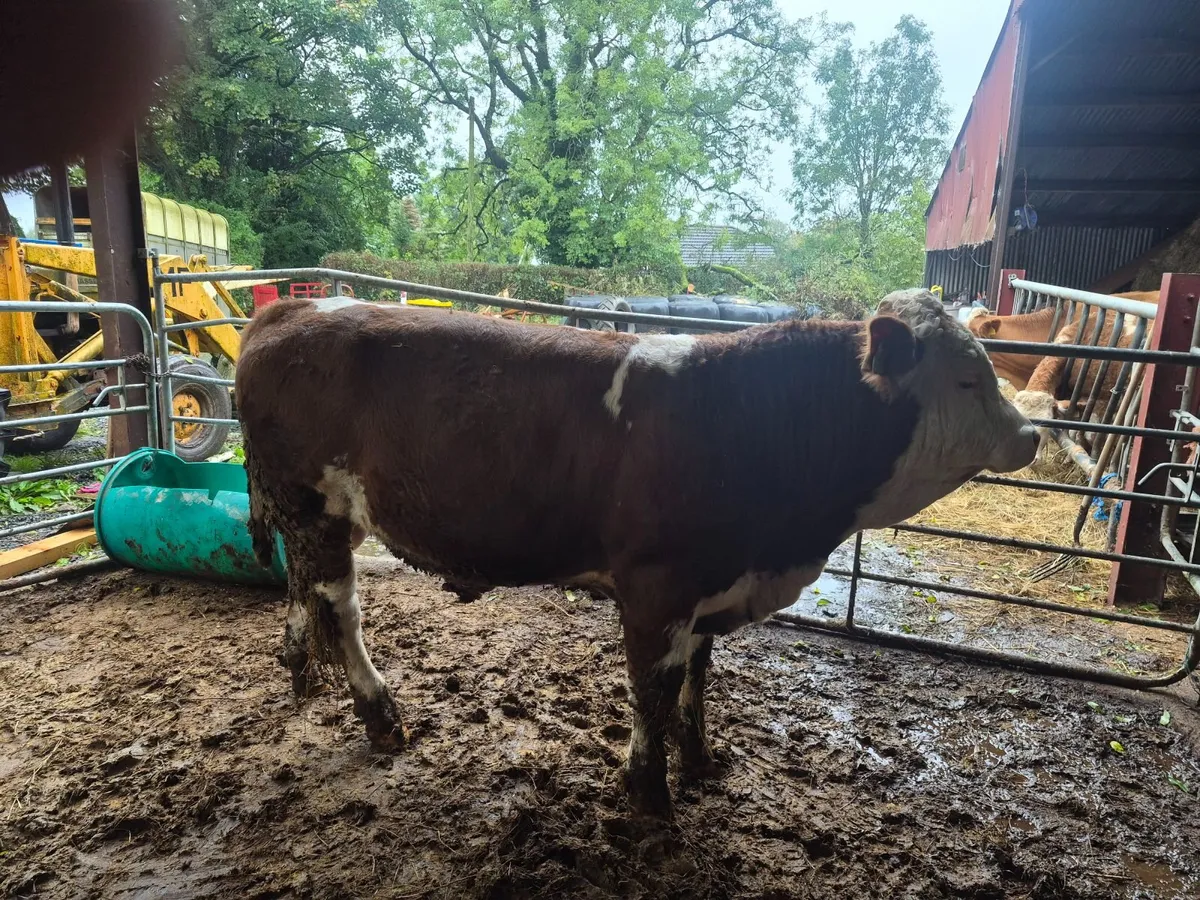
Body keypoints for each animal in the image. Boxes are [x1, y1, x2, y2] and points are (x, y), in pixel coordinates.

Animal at [234, 288, 1038, 819]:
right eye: (968, 378)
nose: (1031, 435)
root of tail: (293, 310)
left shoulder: (714, 583)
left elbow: (698, 679)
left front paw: (700, 759)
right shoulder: (658, 587)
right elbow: (654, 686)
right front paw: (651, 792)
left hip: (317, 521)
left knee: (302, 591)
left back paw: (298, 669)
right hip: (315, 508)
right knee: (342, 611)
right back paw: (379, 714)